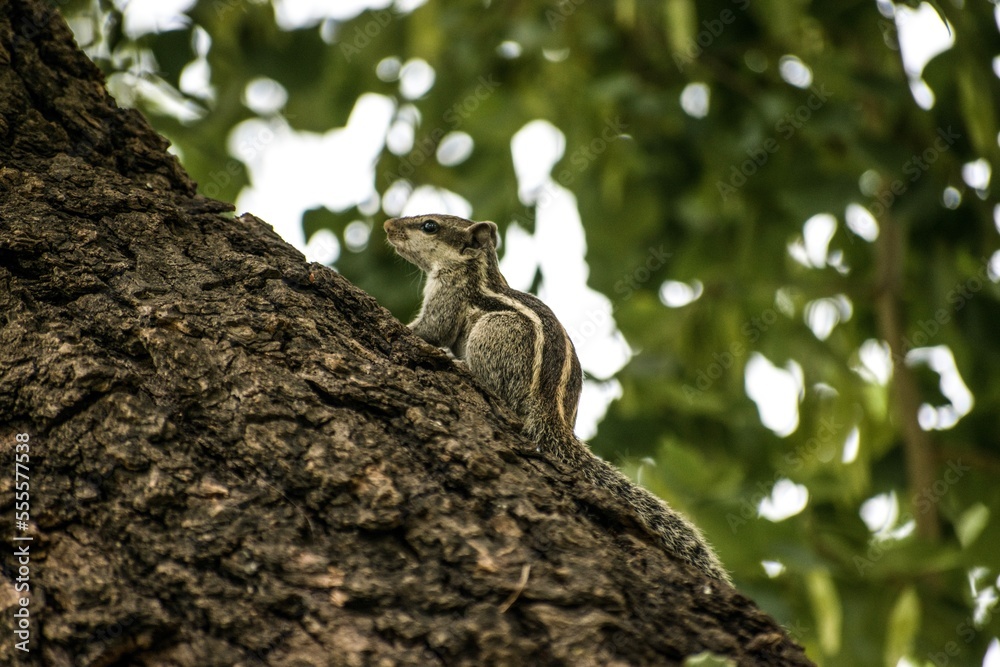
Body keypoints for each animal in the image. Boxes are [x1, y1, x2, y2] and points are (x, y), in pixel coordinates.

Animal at [384, 213, 730, 584]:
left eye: (429, 225)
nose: (388, 226)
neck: (475, 269)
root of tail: (552, 412)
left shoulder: (449, 294)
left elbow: (431, 329)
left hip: (494, 333)